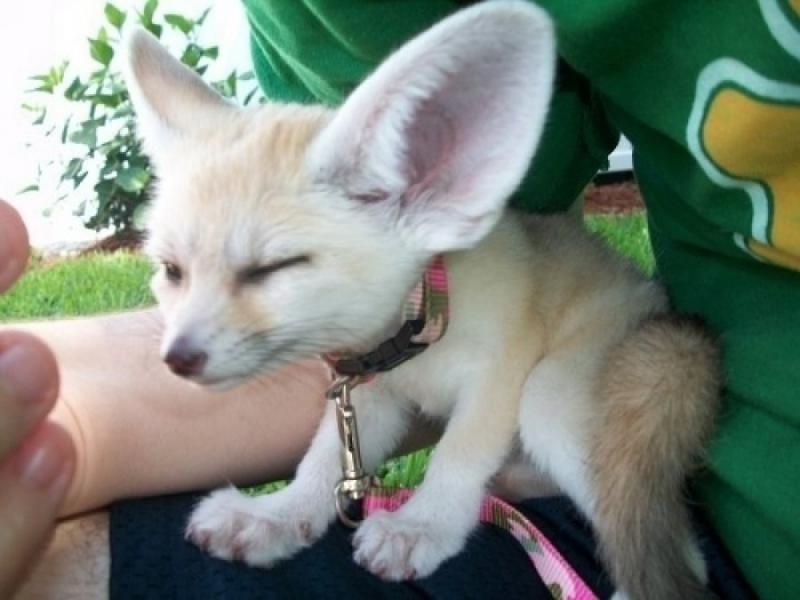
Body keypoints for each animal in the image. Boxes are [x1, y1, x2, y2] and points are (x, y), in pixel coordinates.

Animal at [124, 2, 720, 598]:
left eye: (272, 269)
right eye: (172, 271)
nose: (177, 358)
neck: (421, 330)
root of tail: (660, 306)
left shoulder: (502, 372)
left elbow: (459, 454)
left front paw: (423, 526)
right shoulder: (372, 399)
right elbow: (324, 460)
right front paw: (277, 515)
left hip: (553, 395)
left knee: (681, 553)